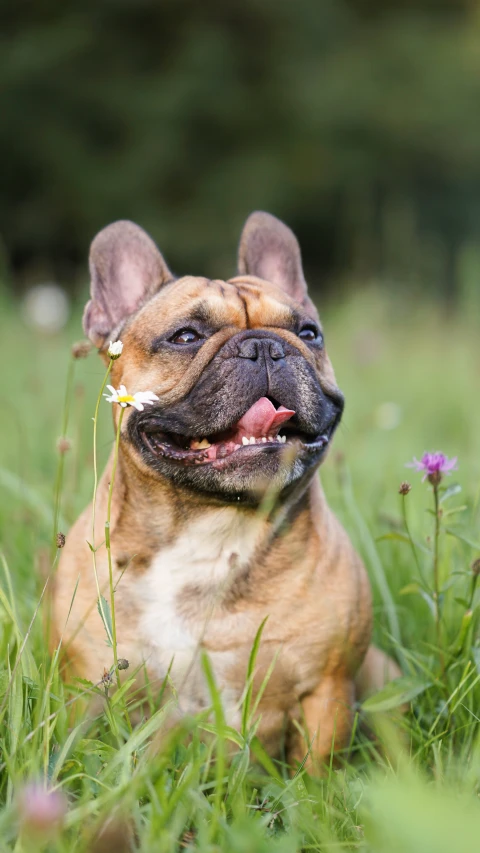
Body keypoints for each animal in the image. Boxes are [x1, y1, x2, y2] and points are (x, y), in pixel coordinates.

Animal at [53, 211, 398, 764]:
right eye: (186, 336)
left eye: (309, 332)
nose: (266, 346)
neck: (212, 522)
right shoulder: (85, 689)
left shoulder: (326, 692)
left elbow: (317, 770)